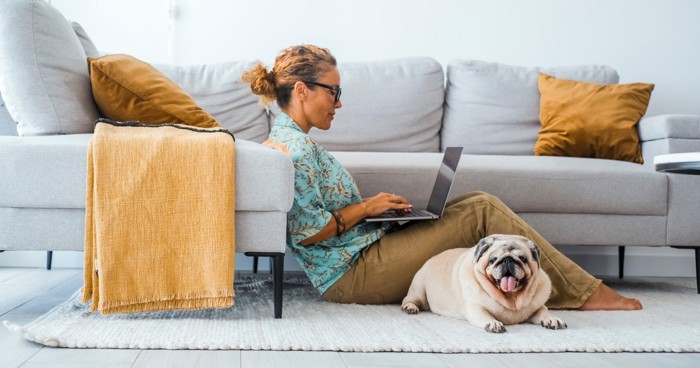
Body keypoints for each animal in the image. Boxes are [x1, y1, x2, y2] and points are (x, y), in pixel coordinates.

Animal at [402, 236, 568, 334]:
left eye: (523, 259)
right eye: (493, 259)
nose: (508, 260)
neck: (511, 299)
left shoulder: (537, 307)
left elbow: (544, 311)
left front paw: (552, 319)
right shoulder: (475, 307)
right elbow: (485, 314)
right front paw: (493, 323)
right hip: (419, 289)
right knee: (409, 299)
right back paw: (410, 307)